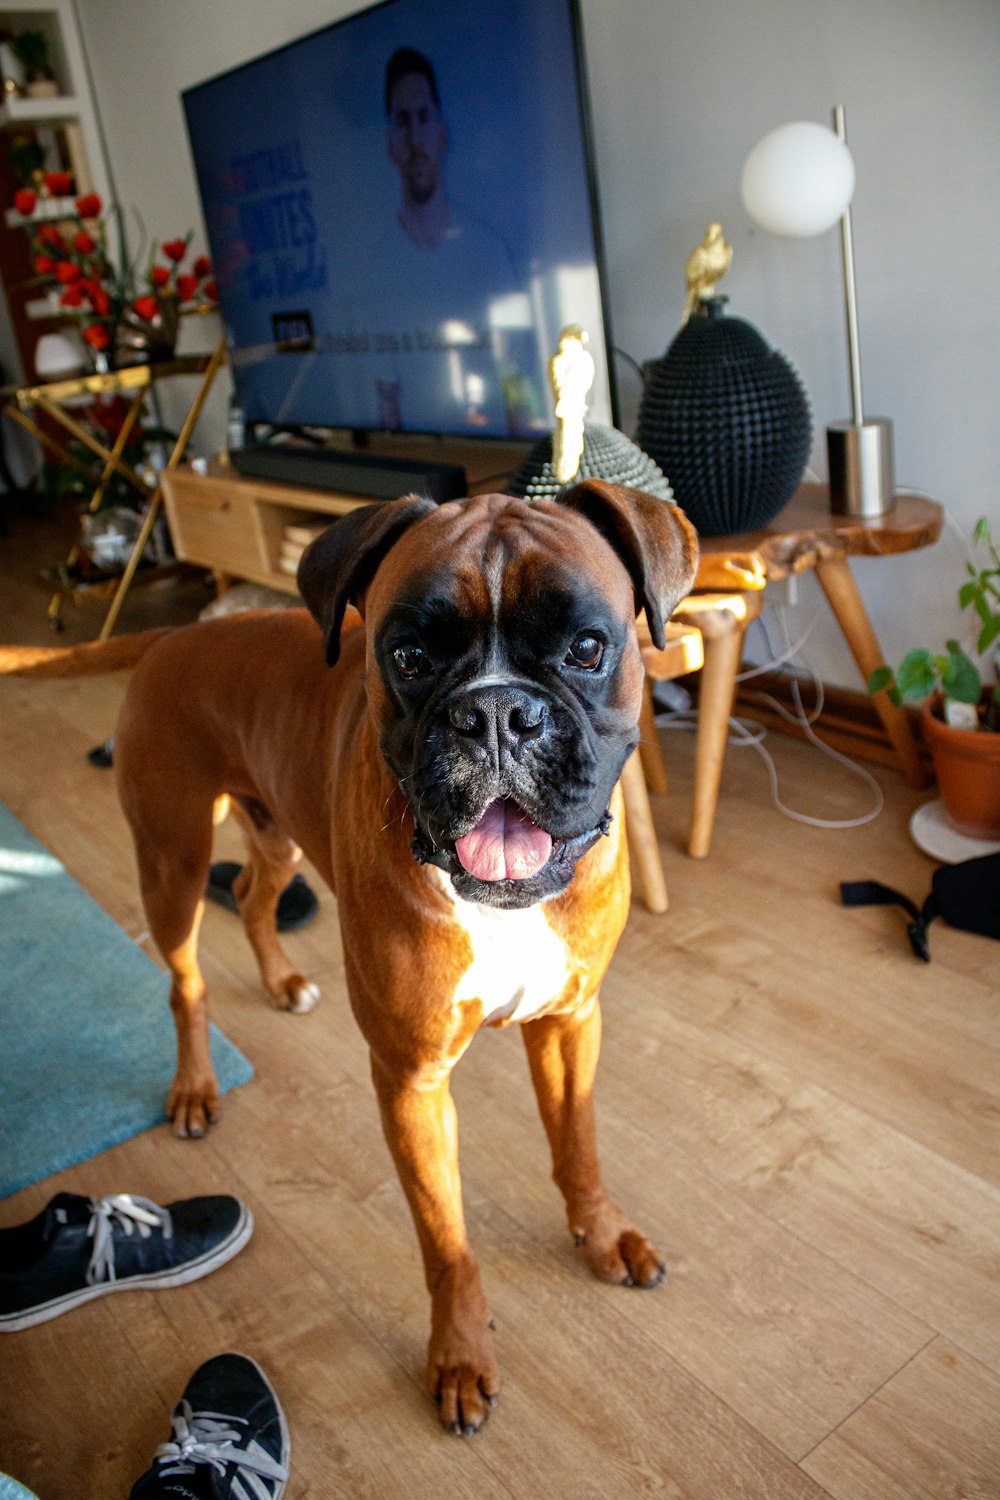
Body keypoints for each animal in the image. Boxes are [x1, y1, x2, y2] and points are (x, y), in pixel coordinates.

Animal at [0, 480, 701, 1428]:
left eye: (587, 648)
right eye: (408, 655)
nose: (495, 714)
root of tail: (177, 634)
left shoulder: (568, 1024)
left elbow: (578, 1144)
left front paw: (600, 1235)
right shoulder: (412, 1083)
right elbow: (447, 1238)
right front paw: (460, 1355)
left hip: (273, 833)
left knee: (254, 899)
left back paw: (283, 982)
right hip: (174, 862)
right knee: (185, 981)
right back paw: (195, 1086)